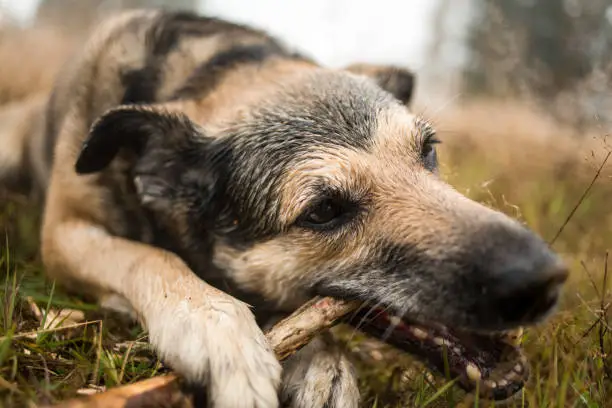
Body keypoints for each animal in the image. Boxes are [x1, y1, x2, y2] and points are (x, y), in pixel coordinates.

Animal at [0, 9, 568, 408]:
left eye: (427, 151)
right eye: (323, 211)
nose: (543, 279)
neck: (213, 72)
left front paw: (324, 366)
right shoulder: (65, 232)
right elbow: (151, 258)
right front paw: (218, 330)